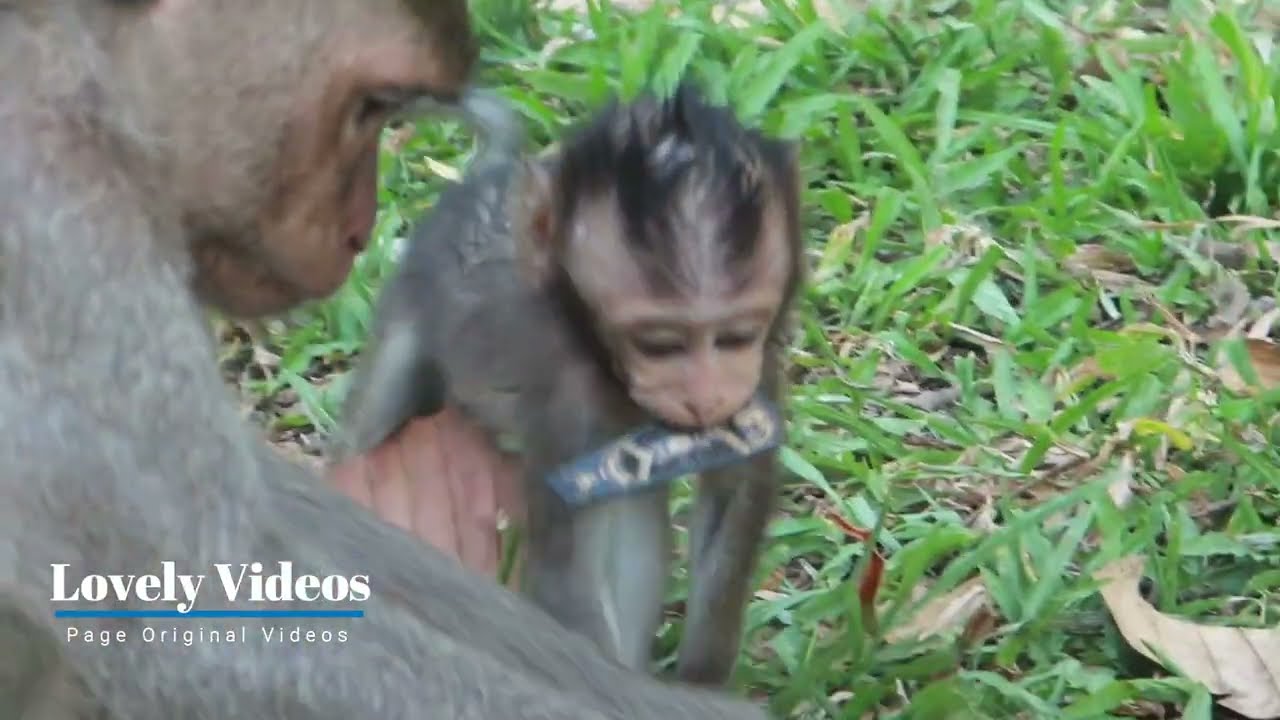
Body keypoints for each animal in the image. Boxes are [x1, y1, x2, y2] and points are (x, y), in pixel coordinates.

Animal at [336, 82, 804, 686]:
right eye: (660, 345)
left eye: (736, 336)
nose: (706, 398)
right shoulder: (565, 402)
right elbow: (565, 569)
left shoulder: (759, 371)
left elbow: (735, 496)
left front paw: (702, 678)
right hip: (411, 301)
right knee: (369, 426)